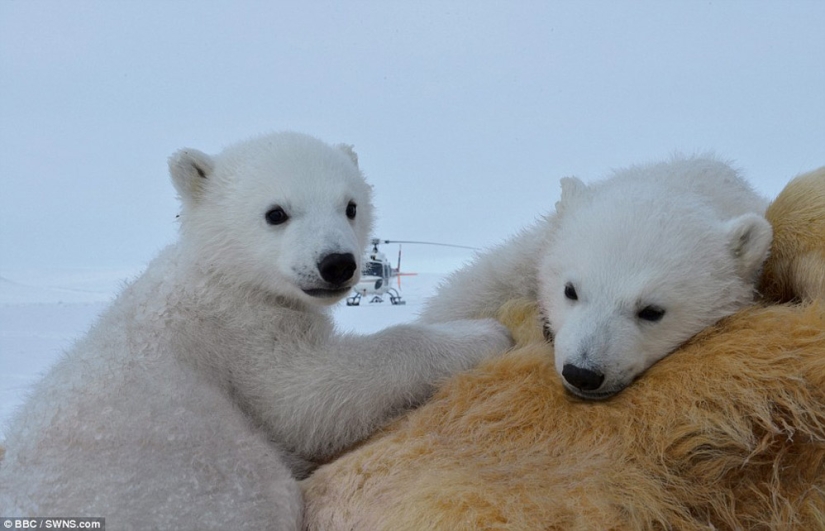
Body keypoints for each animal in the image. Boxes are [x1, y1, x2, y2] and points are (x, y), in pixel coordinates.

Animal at [0, 132, 511, 530]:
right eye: (276, 213)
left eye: (350, 206)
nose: (338, 264)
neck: (221, 276)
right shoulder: (238, 332)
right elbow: (308, 396)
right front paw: (485, 333)